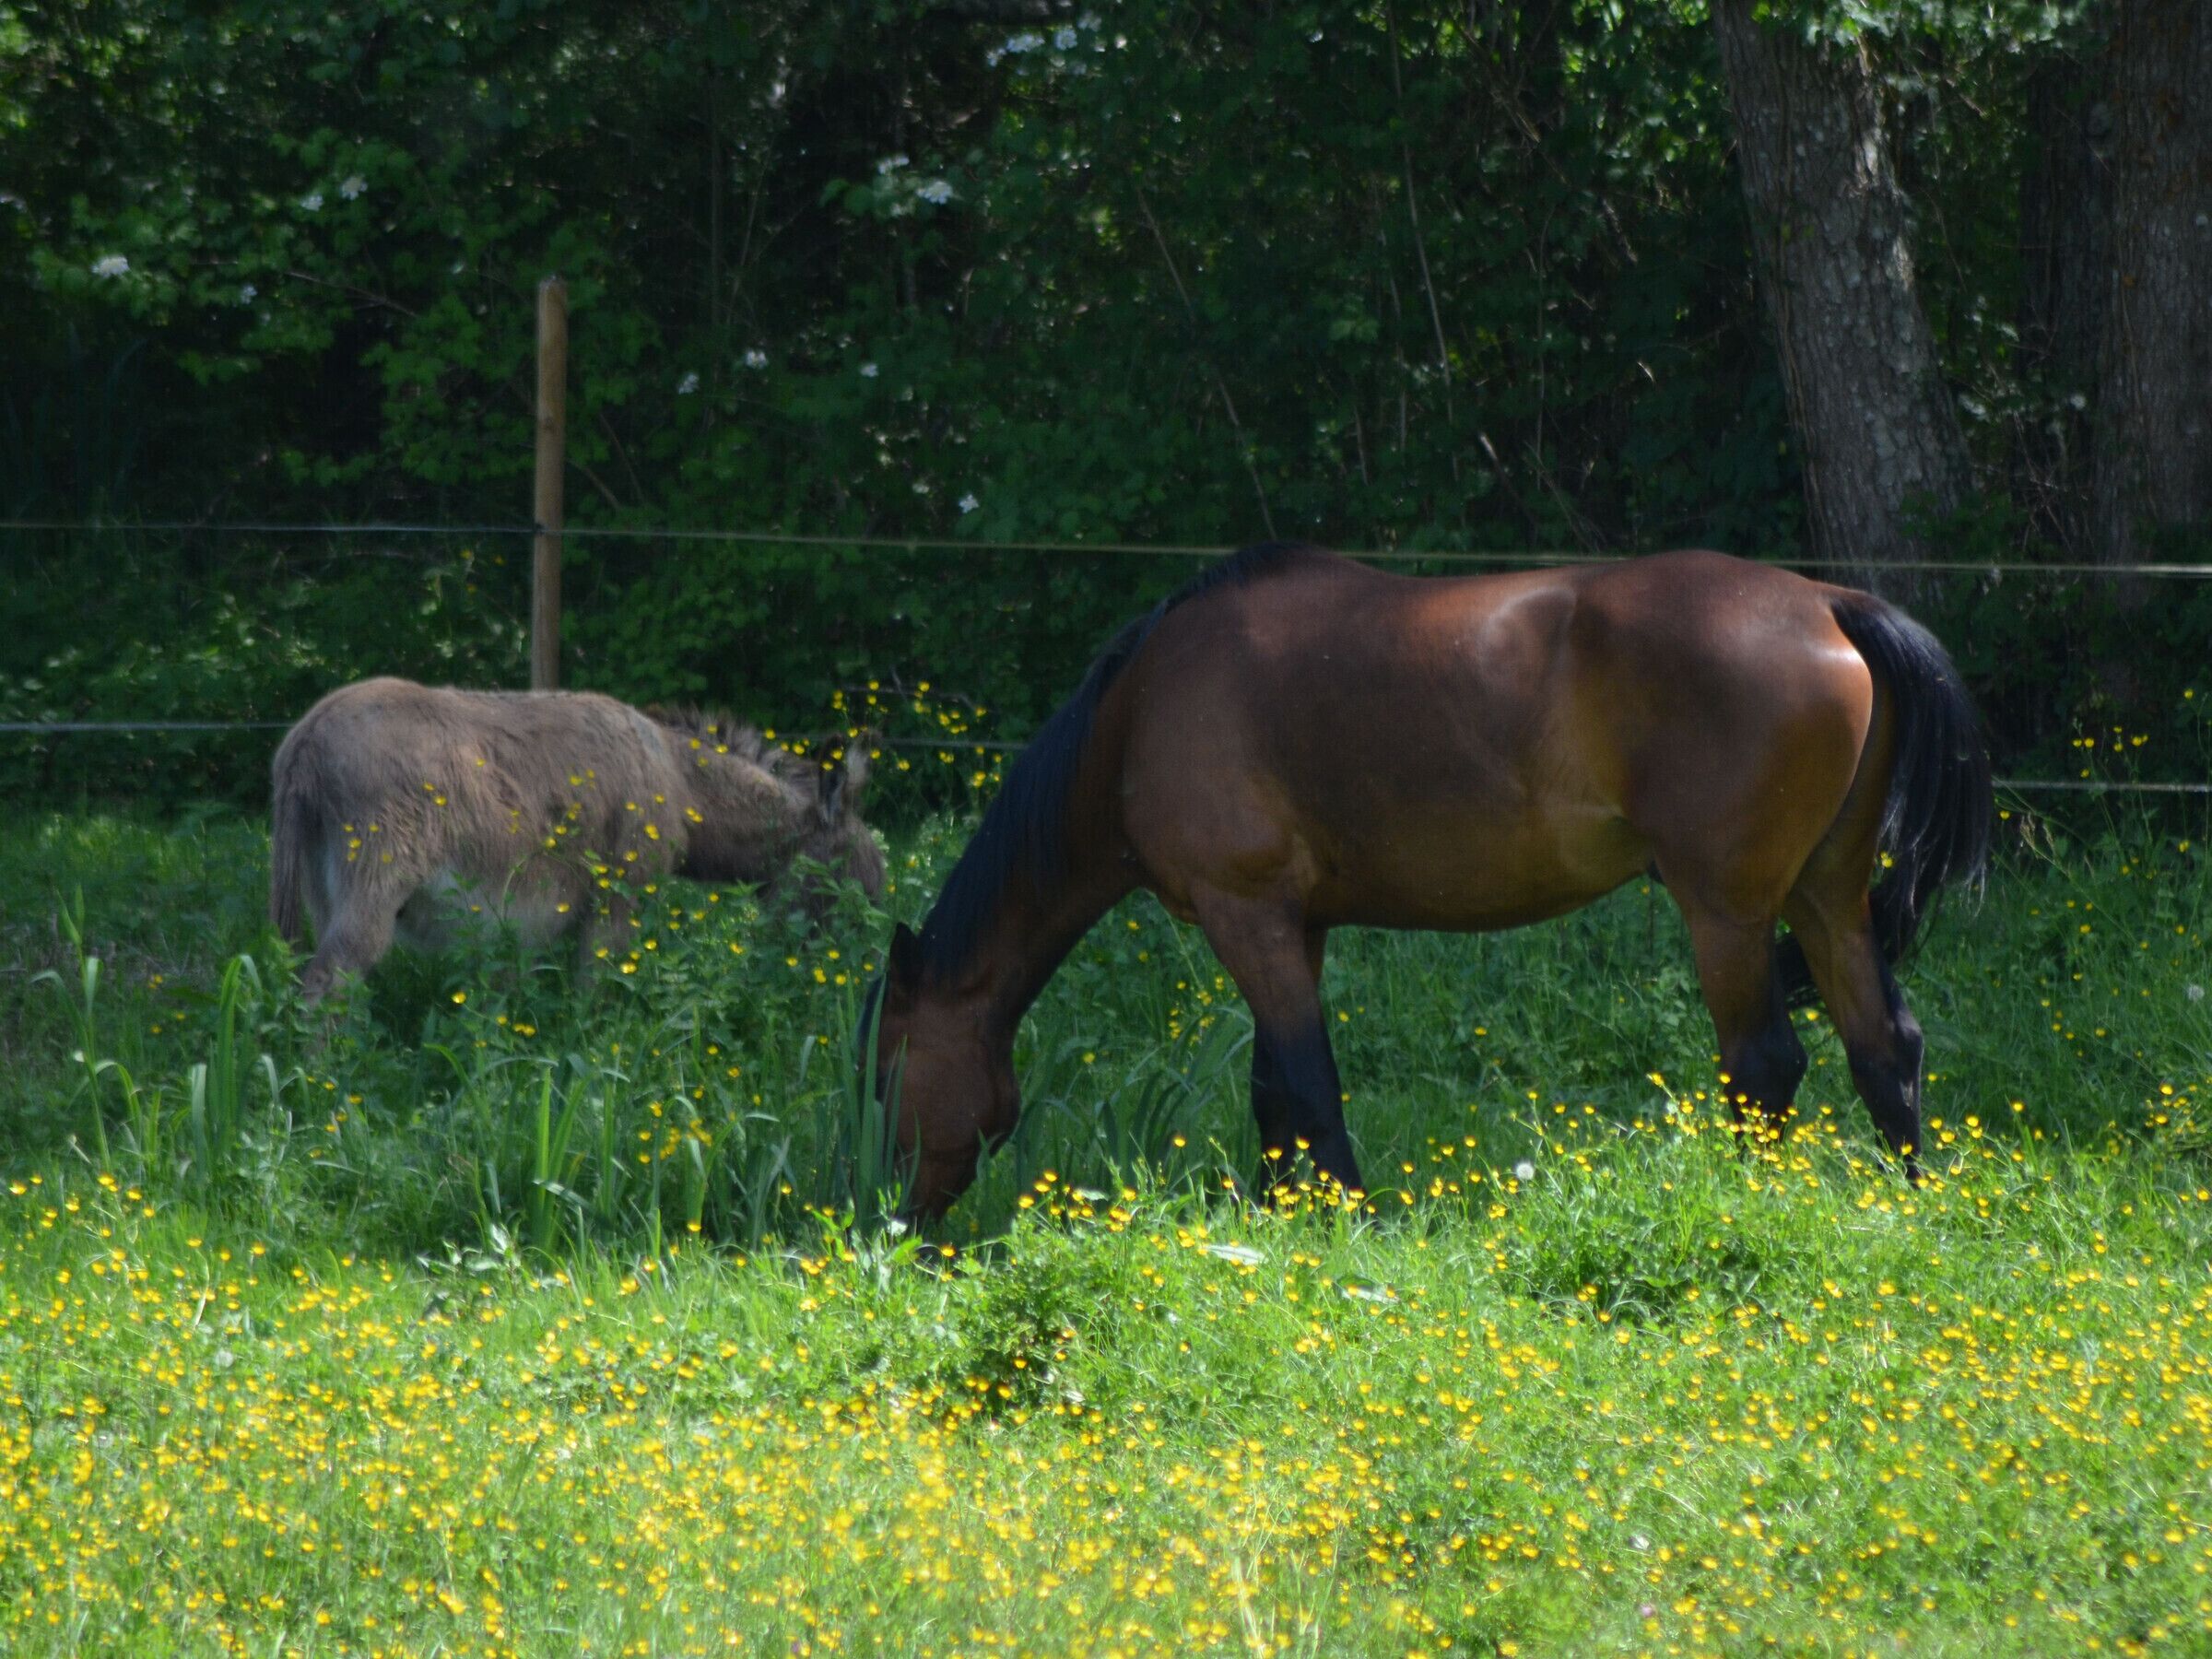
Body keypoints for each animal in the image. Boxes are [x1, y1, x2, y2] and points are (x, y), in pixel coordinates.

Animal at [271, 677, 884, 1001]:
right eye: (848, 875)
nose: (861, 976)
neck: (679, 783)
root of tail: (306, 736)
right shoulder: (619, 901)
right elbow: (597, 991)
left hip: (323, 891)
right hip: (374, 884)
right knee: (328, 981)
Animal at [865, 543, 1991, 1216]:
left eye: (888, 1071)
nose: (899, 1223)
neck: (1139, 714)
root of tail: (1829, 604)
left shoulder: (1246, 913)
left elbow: (1308, 1084)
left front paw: (1348, 1226)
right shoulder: (1295, 925)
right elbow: (1274, 1089)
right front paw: (1276, 1222)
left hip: (1728, 909)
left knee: (1763, 1065)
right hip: (1825, 897)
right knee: (1883, 1047)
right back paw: (1903, 1210)